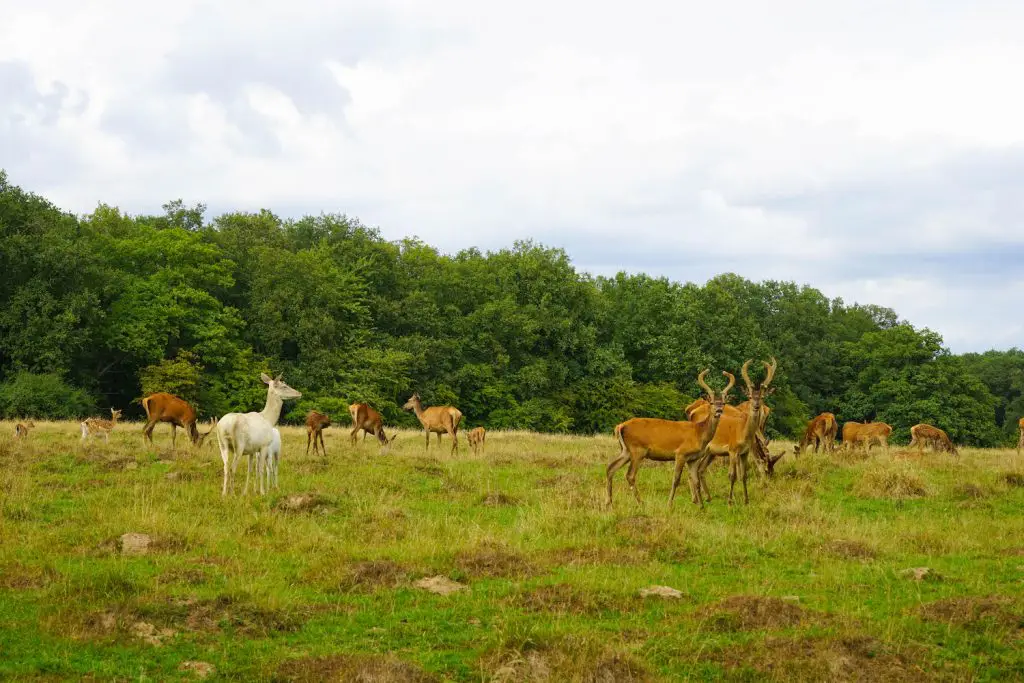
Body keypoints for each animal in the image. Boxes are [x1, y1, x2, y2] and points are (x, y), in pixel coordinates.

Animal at [602, 368, 733, 507]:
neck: (699, 433)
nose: (718, 410)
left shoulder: (693, 459)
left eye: (724, 403)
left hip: (626, 450)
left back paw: (609, 502)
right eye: (711, 403)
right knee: (630, 475)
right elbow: (676, 479)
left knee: (610, 467)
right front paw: (669, 504)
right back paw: (640, 502)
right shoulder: (681, 453)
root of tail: (620, 426)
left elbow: (696, 480)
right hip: (637, 450)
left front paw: (701, 506)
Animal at [692, 358, 778, 507]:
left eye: (762, 397)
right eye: (750, 396)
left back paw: (707, 497)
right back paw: (696, 499)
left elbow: (744, 475)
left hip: (710, 452)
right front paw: (730, 501)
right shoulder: (732, 450)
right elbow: (732, 475)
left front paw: (746, 500)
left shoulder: (744, 452)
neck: (743, 434)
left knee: (700, 469)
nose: (756, 406)